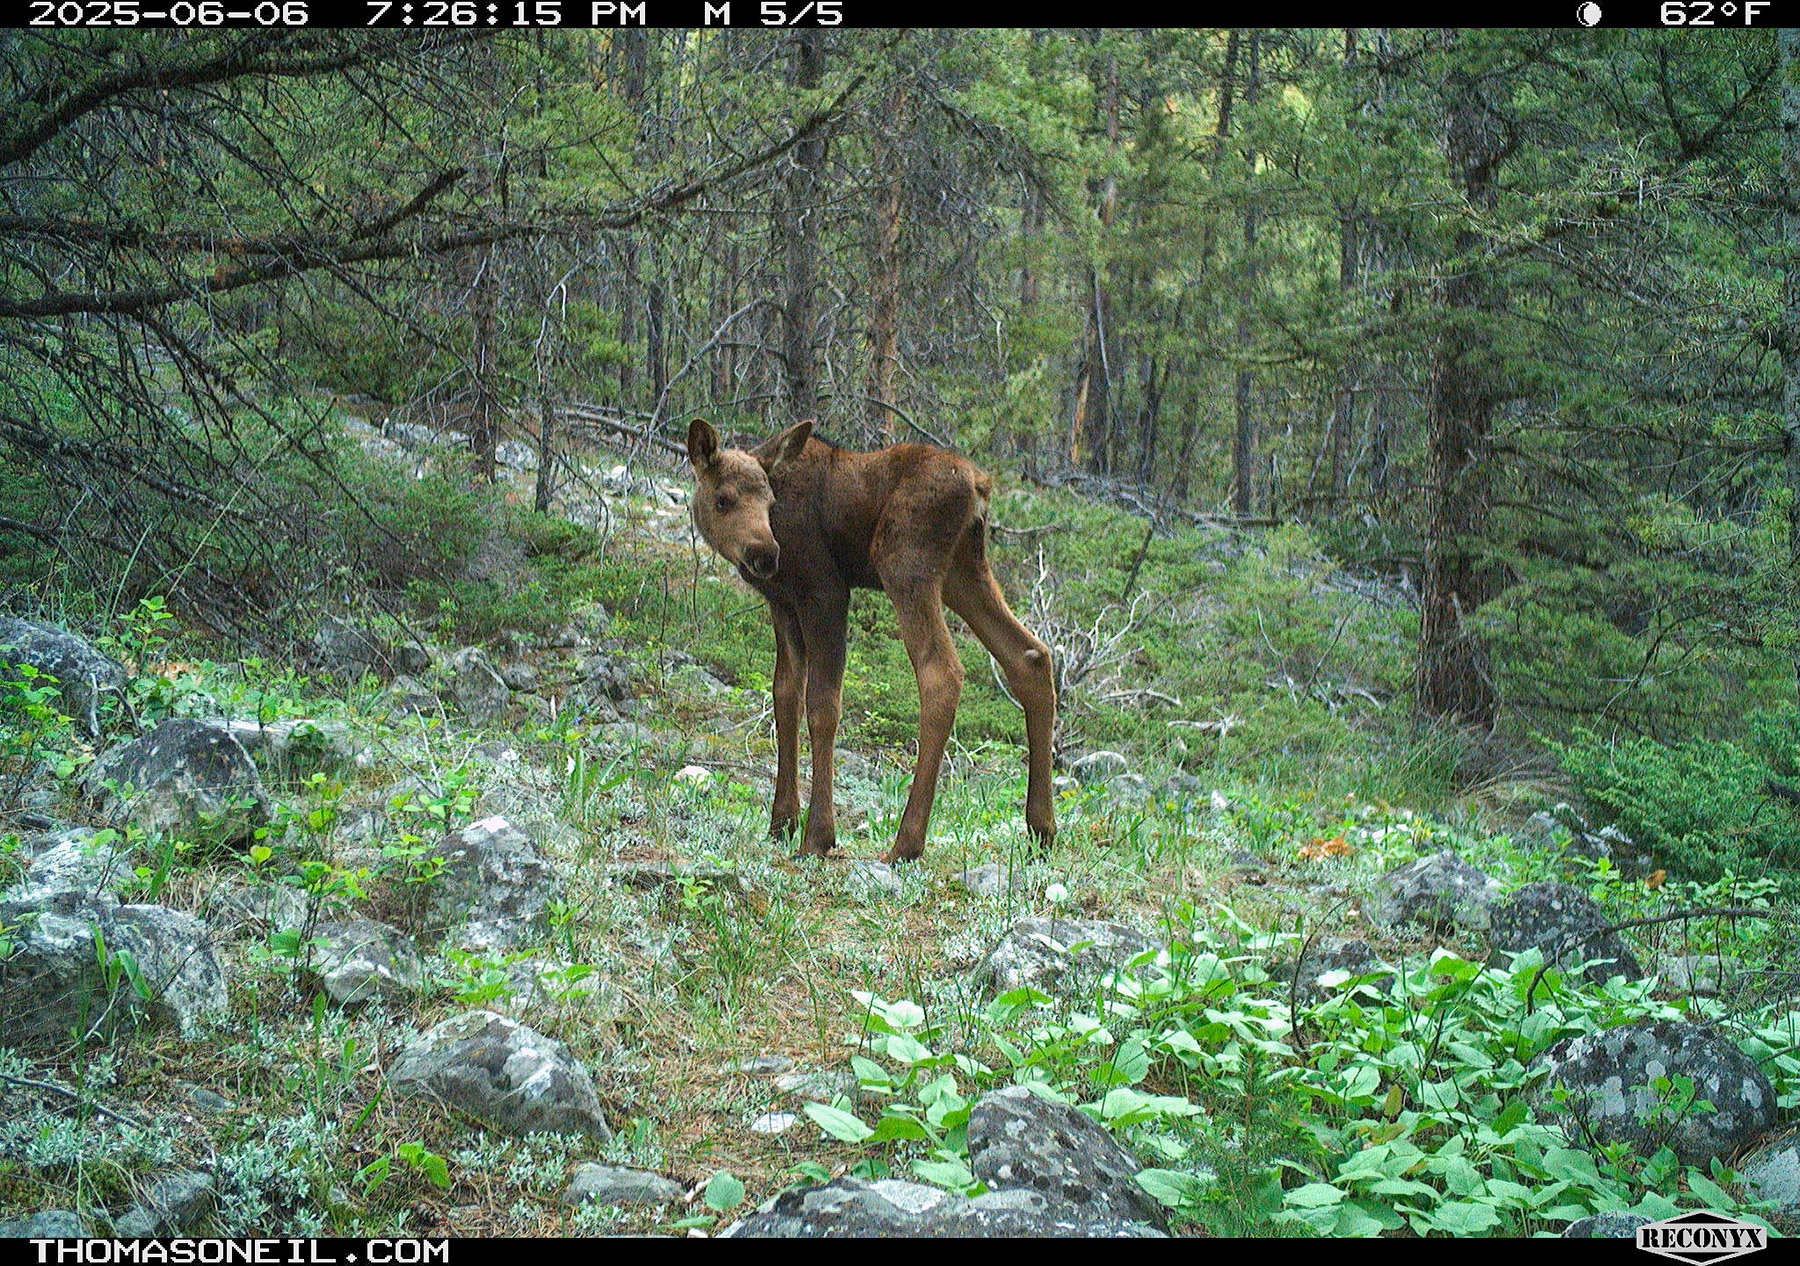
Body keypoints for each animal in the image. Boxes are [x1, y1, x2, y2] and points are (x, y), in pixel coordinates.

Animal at [684, 418, 1057, 864]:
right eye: (723, 500)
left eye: (769, 502)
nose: (766, 555)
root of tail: (980, 486)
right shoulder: (783, 604)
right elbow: (785, 698)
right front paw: (781, 822)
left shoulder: (826, 591)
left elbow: (823, 707)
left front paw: (818, 835)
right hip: (962, 571)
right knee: (1030, 654)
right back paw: (1041, 830)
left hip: (903, 561)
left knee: (942, 672)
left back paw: (906, 843)